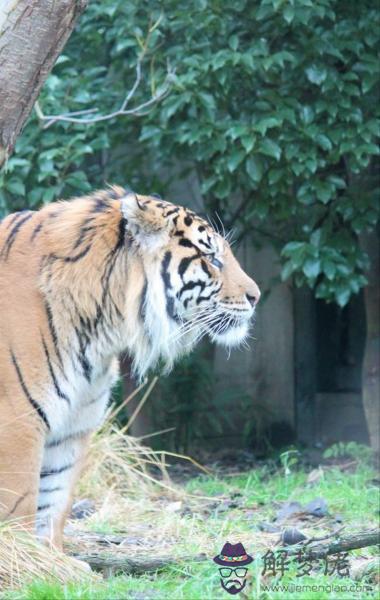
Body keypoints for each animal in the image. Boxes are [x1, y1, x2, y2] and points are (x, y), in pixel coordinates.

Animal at [0, 186, 260, 552]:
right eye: (212, 258)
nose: (256, 296)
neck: (99, 332)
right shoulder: (18, 426)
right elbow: (18, 510)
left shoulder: (70, 430)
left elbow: (49, 509)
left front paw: (53, 563)